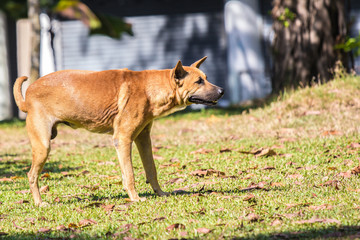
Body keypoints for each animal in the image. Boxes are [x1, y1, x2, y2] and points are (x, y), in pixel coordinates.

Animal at [13, 56, 222, 206]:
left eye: (206, 78)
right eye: (198, 81)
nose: (222, 91)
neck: (151, 89)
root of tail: (28, 95)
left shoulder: (143, 139)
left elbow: (151, 170)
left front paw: (160, 193)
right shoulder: (123, 139)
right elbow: (129, 174)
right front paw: (135, 198)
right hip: (43, 145)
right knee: (31, 175)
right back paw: (39, 203)